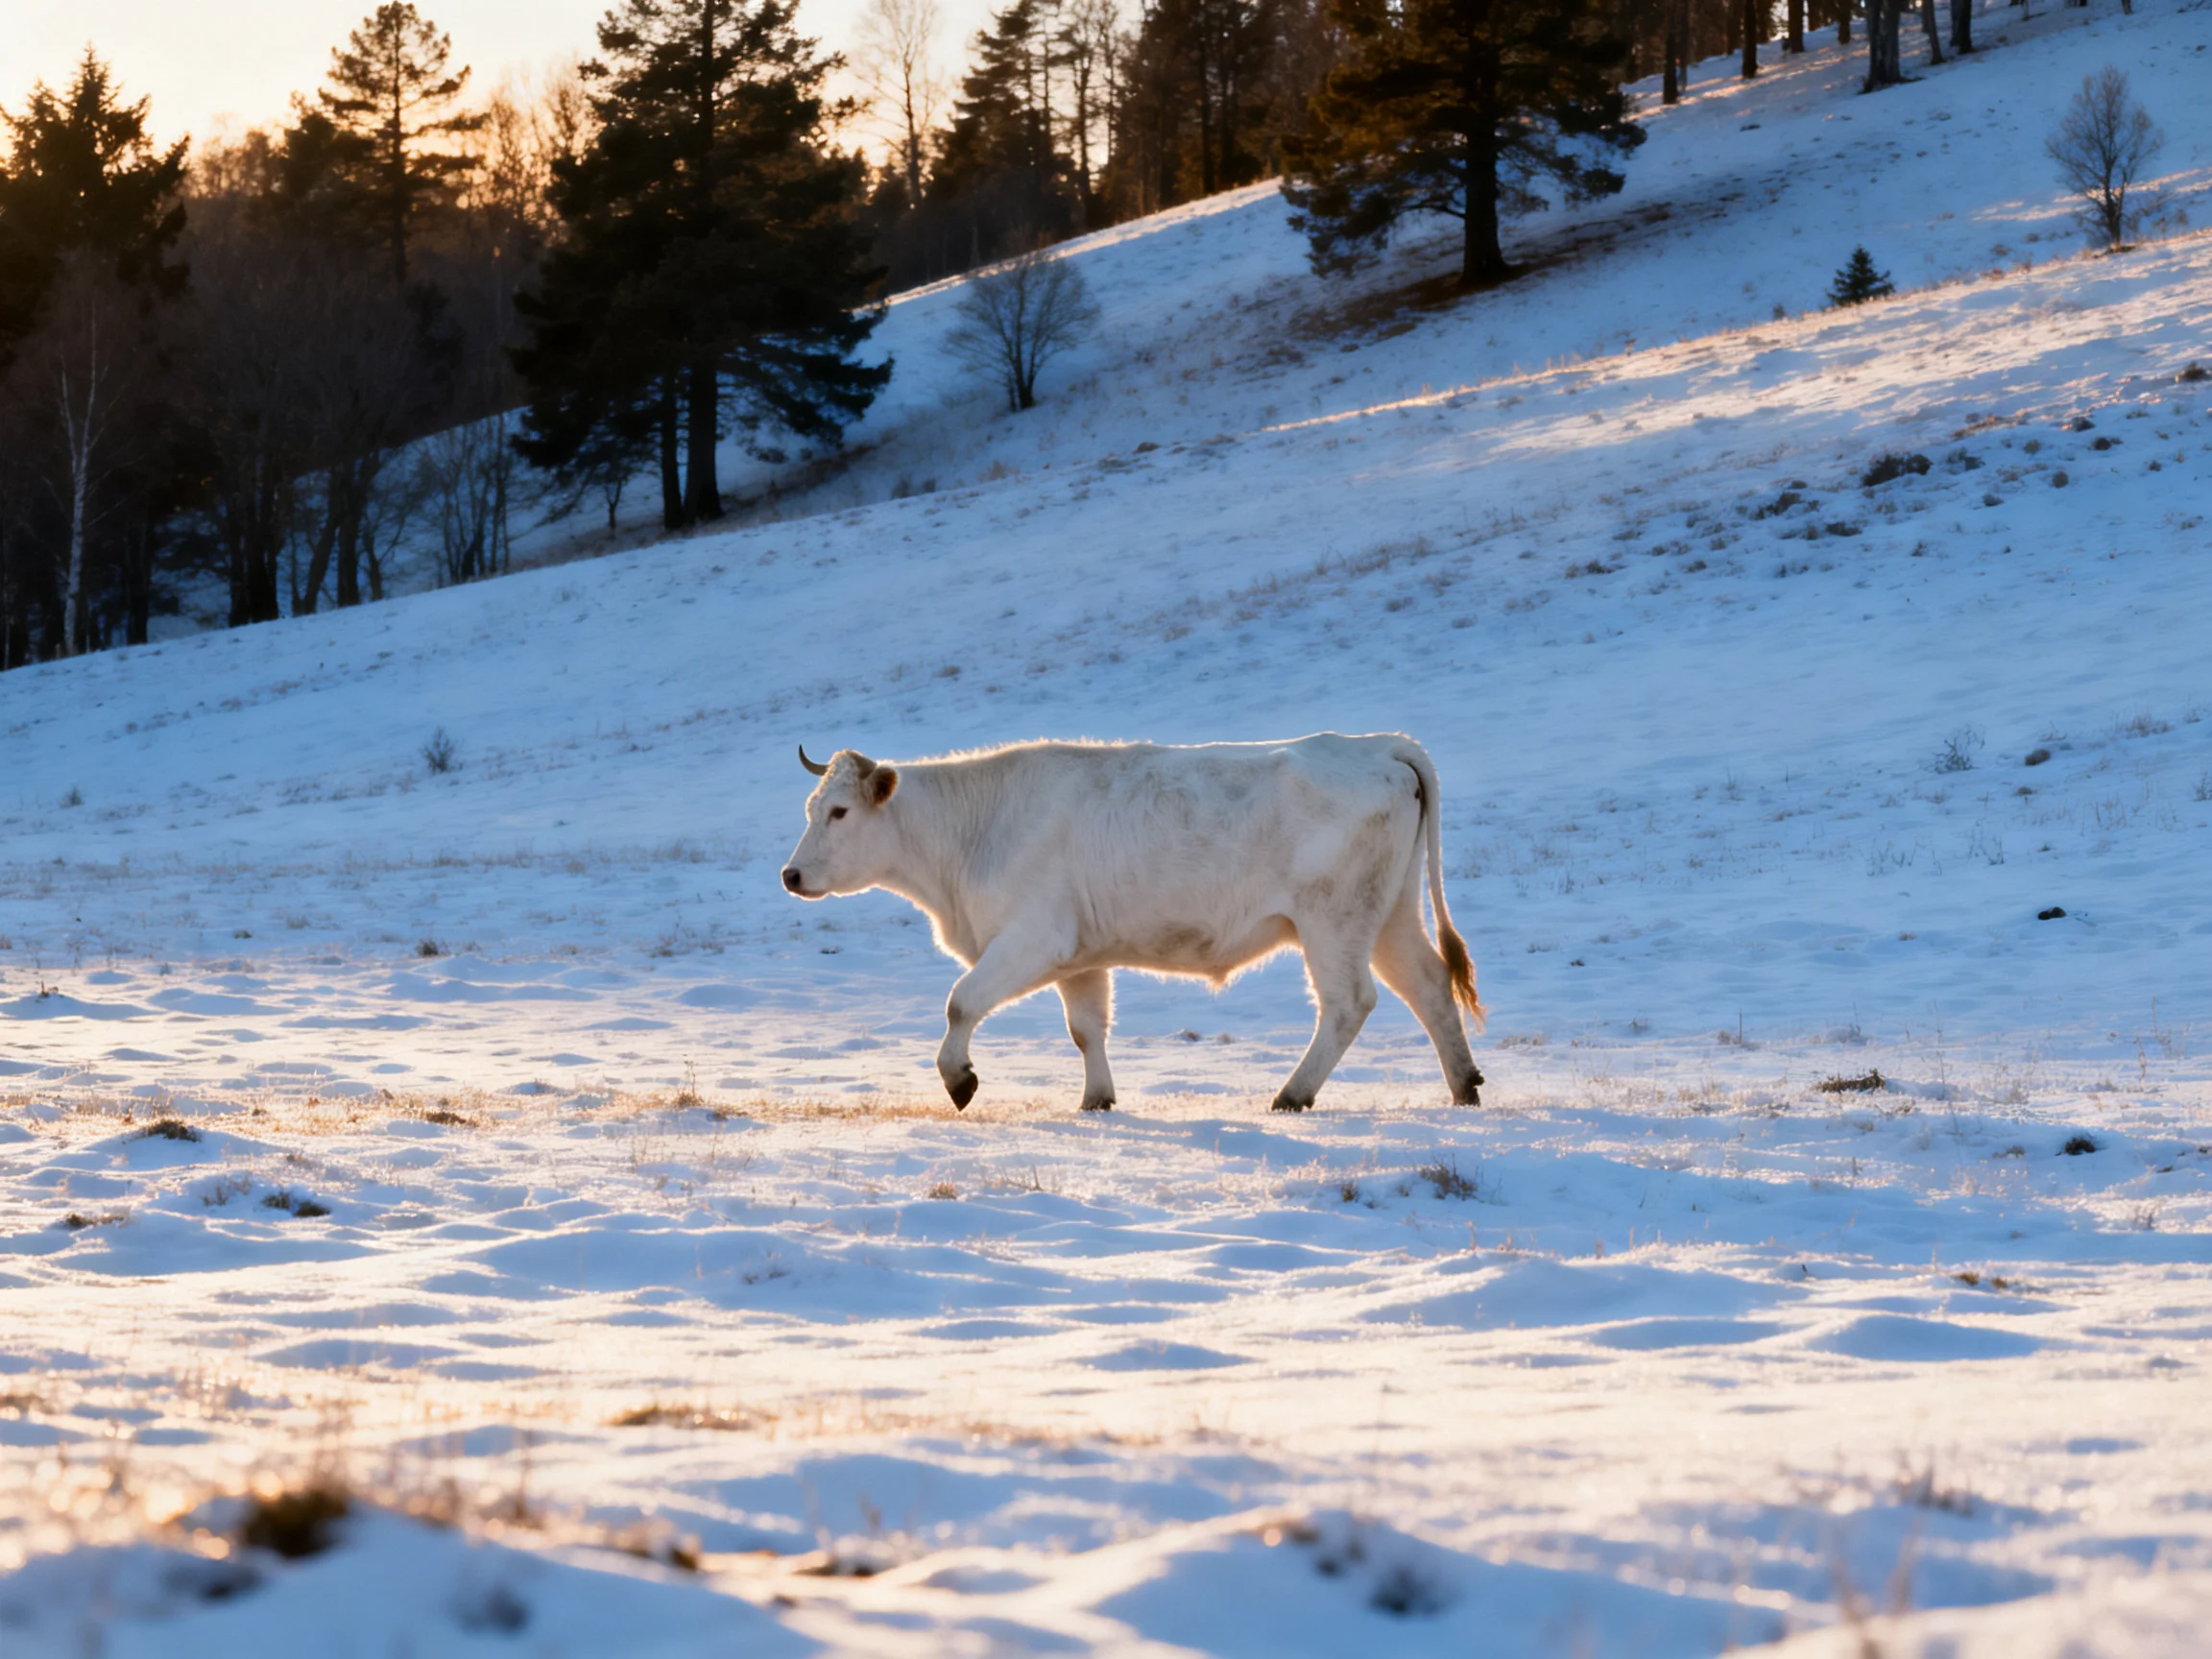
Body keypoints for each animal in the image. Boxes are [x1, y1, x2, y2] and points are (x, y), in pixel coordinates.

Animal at [780, 734, 1485, 1114]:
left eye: (840, 812)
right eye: (811, 807)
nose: (791, 875)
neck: (972, 832)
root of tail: (1376, 744)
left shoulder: (1032, 939)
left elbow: (961, 1002)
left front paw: (959, 1079)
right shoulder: (1080, 956)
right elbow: (1086, 1028)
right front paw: (1097, 1099)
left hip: (1333, 920)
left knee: (1348, 1003)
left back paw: (1292, 1095)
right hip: (1390, 914)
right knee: (1428, 986)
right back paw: (1464, 1086)